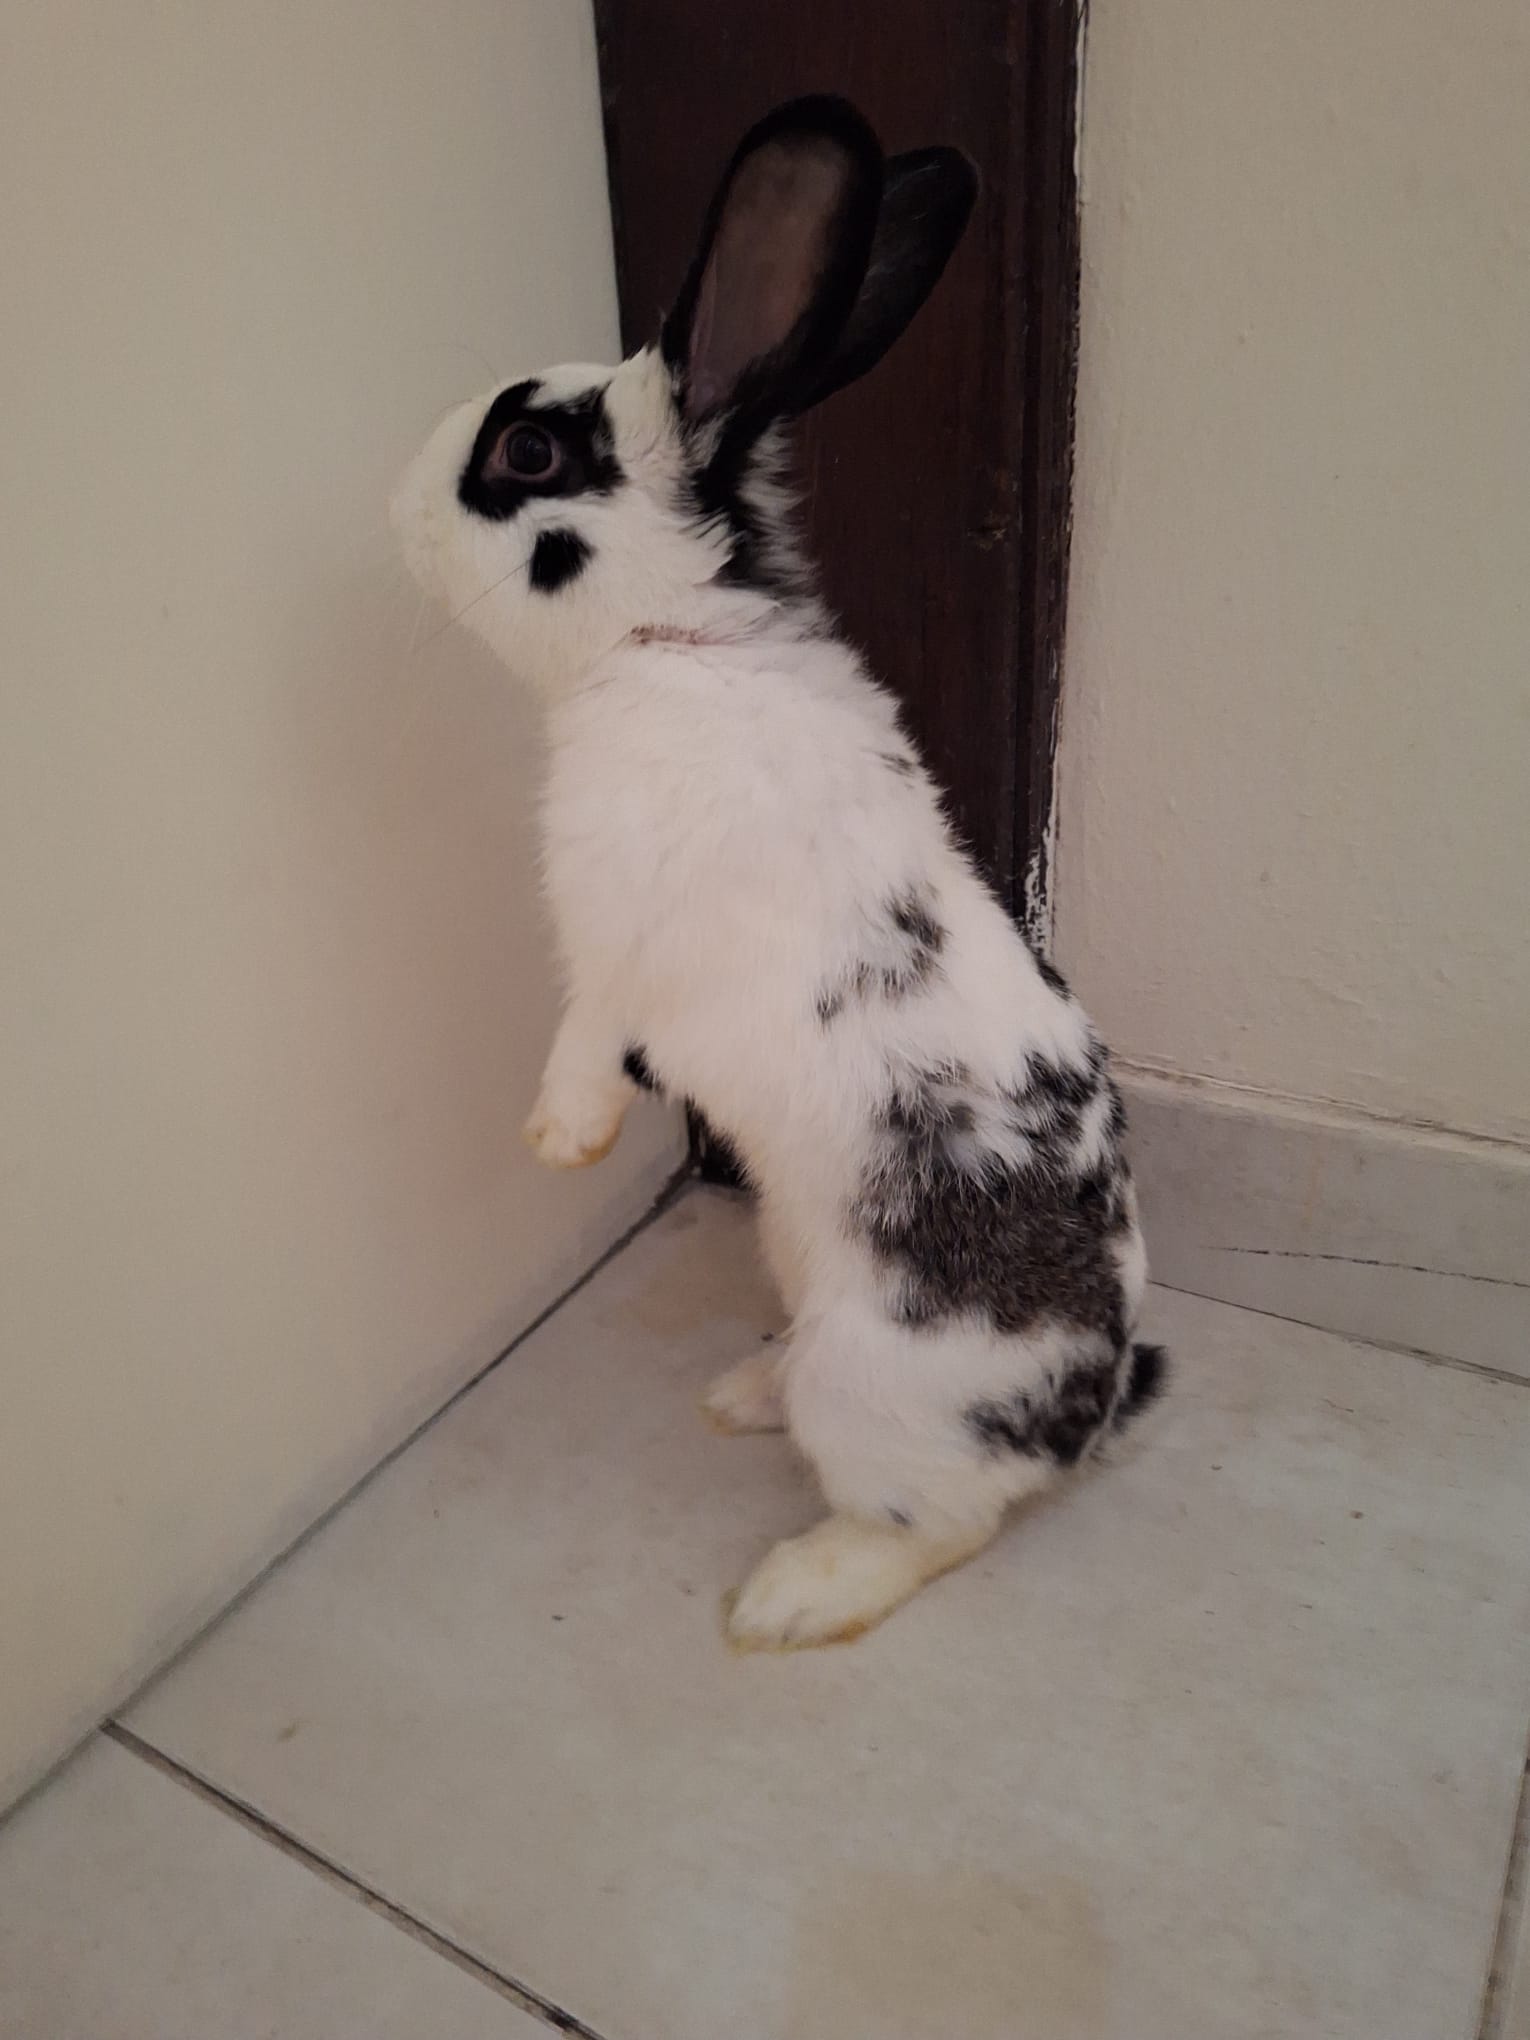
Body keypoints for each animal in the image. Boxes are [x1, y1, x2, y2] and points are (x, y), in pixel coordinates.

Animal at [391, 95, 1166, 1652]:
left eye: (527, 455)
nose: (391, 502)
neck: (675, 644)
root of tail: (1086, 1414)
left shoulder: (620, 944)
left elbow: (583, 1036)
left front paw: (557, 1140)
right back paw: (740, 1394)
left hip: (878, 1404)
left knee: (940, 1527)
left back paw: (791, 1597)